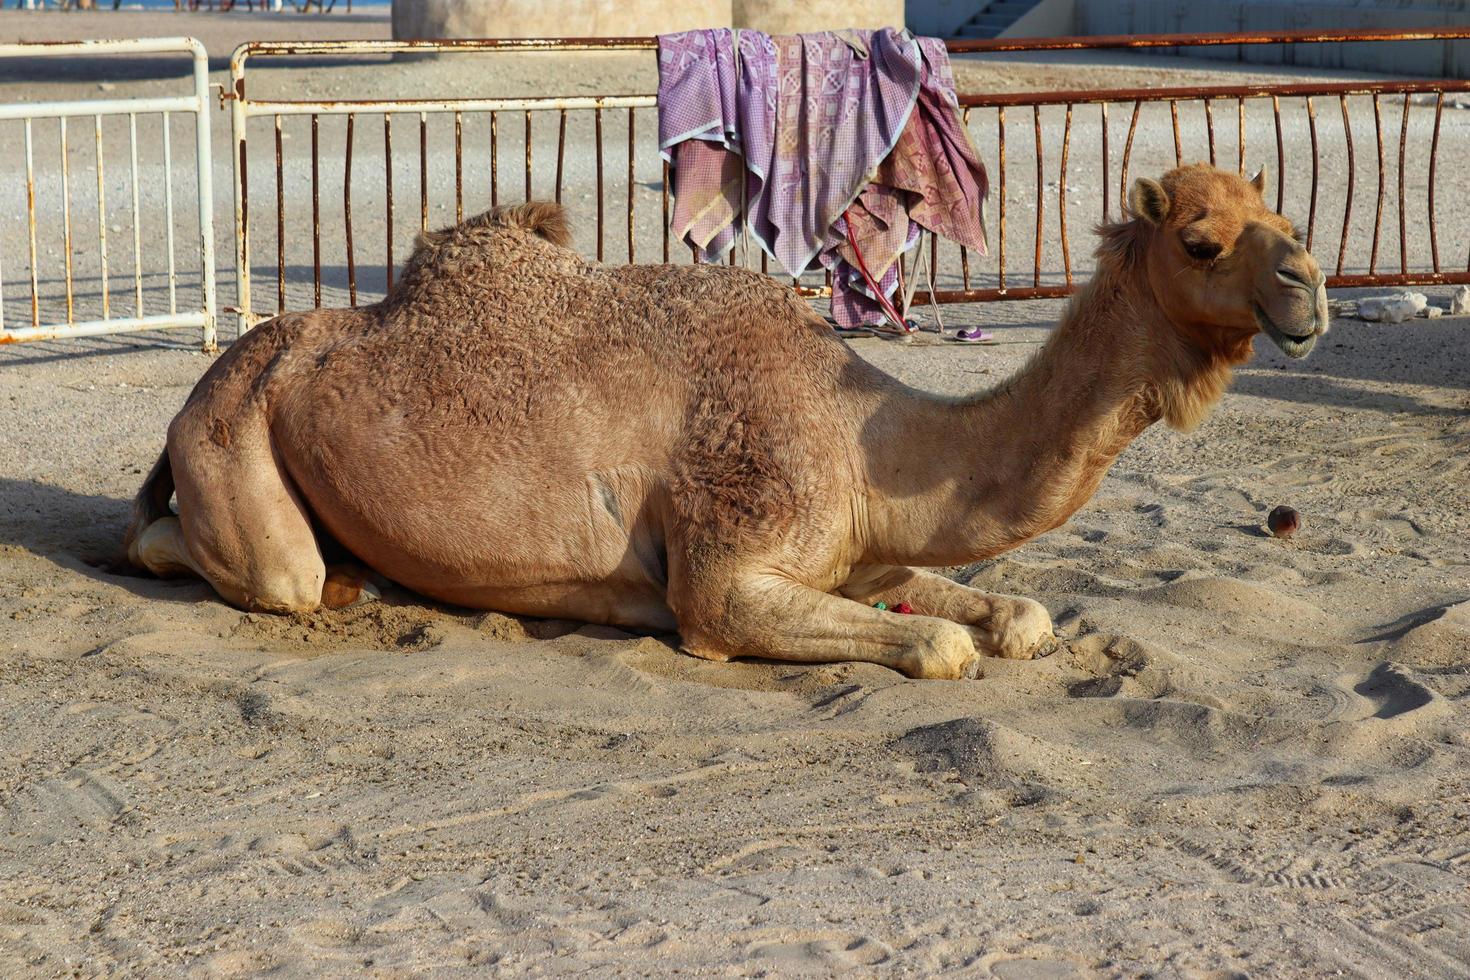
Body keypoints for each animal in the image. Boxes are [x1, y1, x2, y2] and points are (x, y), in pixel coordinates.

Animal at [124, 163, 1327, 680]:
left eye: (1283, 212)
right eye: (1201, 241)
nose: (1309, 288)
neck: (863, 438)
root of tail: (216, 376)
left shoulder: (859, 551)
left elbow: (1013, 616)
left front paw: (1007, 619)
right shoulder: (726, 571)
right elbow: (940, 644)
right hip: (234, 440)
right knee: (230, 560)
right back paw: (320, 579)